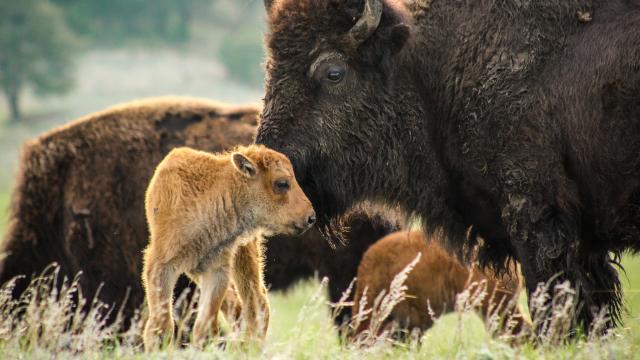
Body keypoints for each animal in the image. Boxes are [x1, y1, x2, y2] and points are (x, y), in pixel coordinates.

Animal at [144, 145, 316, 350]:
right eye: (282, 183)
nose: (311, 217)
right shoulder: (162, 267)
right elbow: (162, 326)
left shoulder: (217, 270)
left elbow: (204, 326)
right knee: (241, 306)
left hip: (243, 256)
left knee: (256, 304)